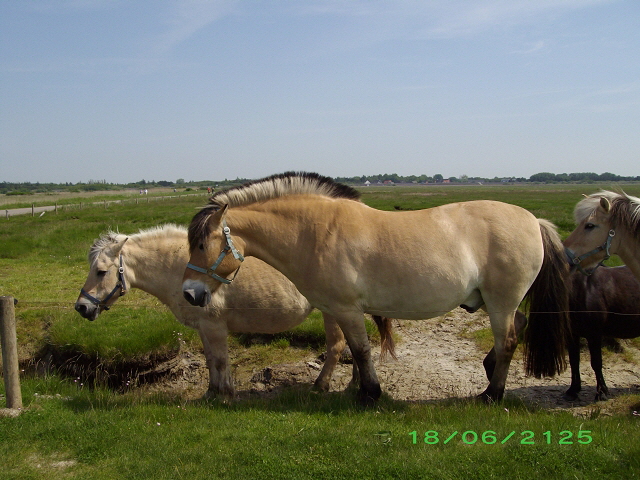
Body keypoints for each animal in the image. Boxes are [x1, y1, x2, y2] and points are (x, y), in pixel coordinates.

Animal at [75, 225, 396, 398]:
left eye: (101, 271)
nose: (81, 307)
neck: (179, 268)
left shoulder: (214, 326)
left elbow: (219, 360)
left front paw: (225, 394)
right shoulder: (204, 329)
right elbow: (210, 361)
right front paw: (212, 392)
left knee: (338, 345)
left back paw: (322, 385)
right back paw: (354, 384)